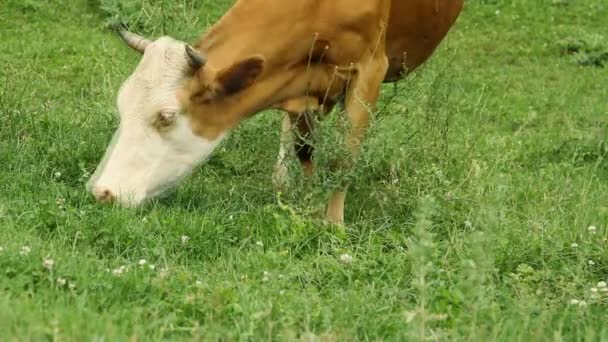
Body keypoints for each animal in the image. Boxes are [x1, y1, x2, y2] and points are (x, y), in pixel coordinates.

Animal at [88, 0, 464, 224]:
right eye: (122, 105)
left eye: (166, 116)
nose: (101, 191)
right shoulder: (298, 79)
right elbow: (304, 148)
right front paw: (307, 198)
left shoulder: (370, 69)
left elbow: (342, 159)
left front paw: (333, 224)